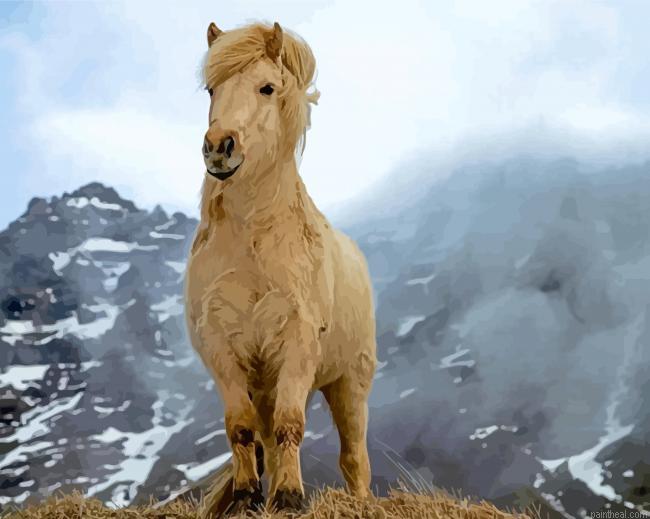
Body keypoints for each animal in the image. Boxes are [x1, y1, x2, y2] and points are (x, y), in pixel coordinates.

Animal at [185, 20, 377, 517]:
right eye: (212, 89)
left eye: (266, 87)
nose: (218, 149)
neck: (254, 242)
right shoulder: (222, 348)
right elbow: (241, 427)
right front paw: (248, 495)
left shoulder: (298, 343)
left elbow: (292, 425)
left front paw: (290, 497)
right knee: (268, 439)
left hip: (349, 382)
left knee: (354, 456)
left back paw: (358, 499)